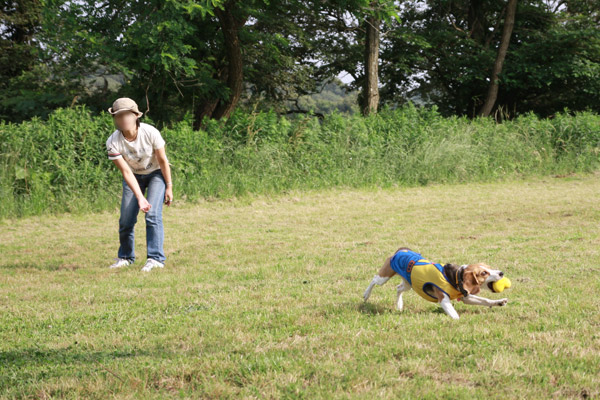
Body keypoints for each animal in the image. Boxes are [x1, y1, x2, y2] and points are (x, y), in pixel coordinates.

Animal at [364, 247, 508, 318]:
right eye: (484, 273)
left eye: (489, 267)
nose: (501, 273)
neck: (455, 276)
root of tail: (401, 250)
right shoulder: (443, 299)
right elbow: (455, 315)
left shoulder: (466, 297)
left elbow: (485, 300)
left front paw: (499, 302)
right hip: (385, 276)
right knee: (374, 279)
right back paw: (366, 295)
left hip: (409, 283)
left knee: (398, 288)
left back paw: (399, 305)